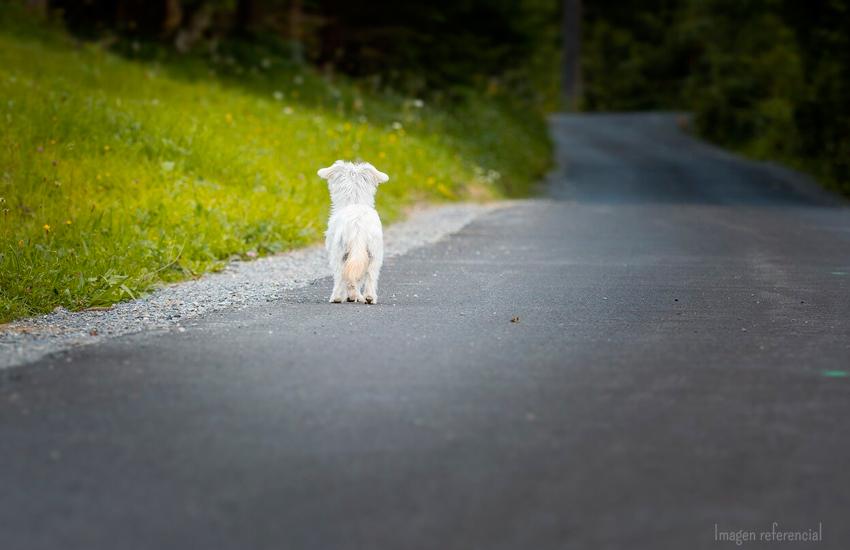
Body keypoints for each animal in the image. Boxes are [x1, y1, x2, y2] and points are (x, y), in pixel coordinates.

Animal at [314, 160, 388, 306]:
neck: (355, 200)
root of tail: (357, 225)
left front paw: (351, 296)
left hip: (338, 253)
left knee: (340, 276)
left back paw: (337, 297)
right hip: (374, 254)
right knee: (370, 276)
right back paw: (369, 297)